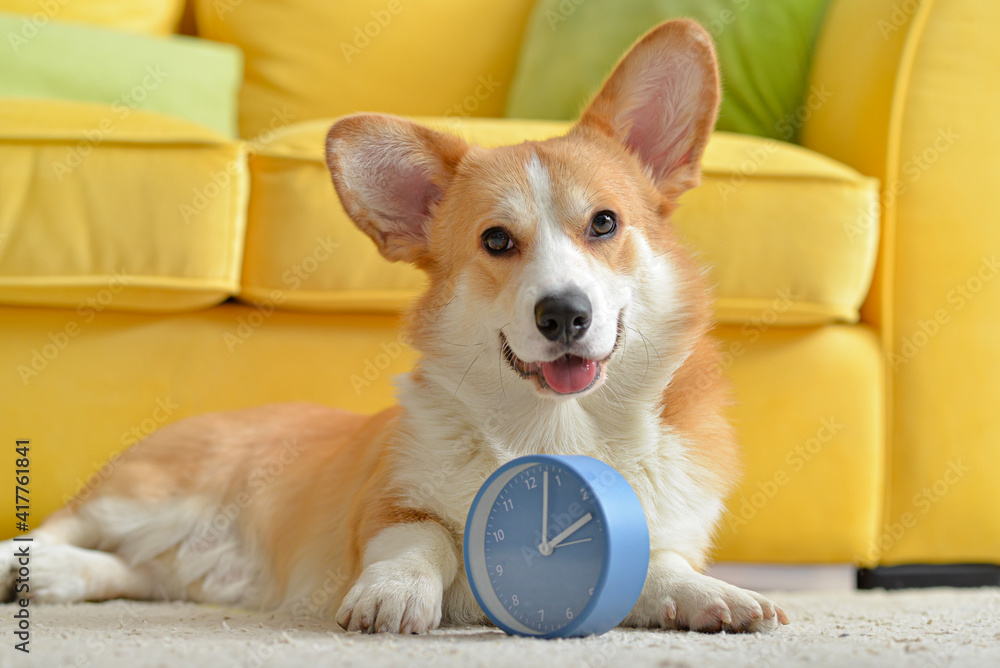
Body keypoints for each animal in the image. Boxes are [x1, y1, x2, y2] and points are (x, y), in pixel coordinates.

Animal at [3, 20, 784, 636]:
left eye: (604, 223)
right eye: (496, 240)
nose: (564, 313)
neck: (559, 429)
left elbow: (660, 562)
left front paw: (716, 596)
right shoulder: (389, 506)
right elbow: (420, 542)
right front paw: (393, 597)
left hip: (155, 561)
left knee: (114, 570)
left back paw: (53, 580)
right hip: (141, 497)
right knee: (52, 527)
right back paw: (20, 568)